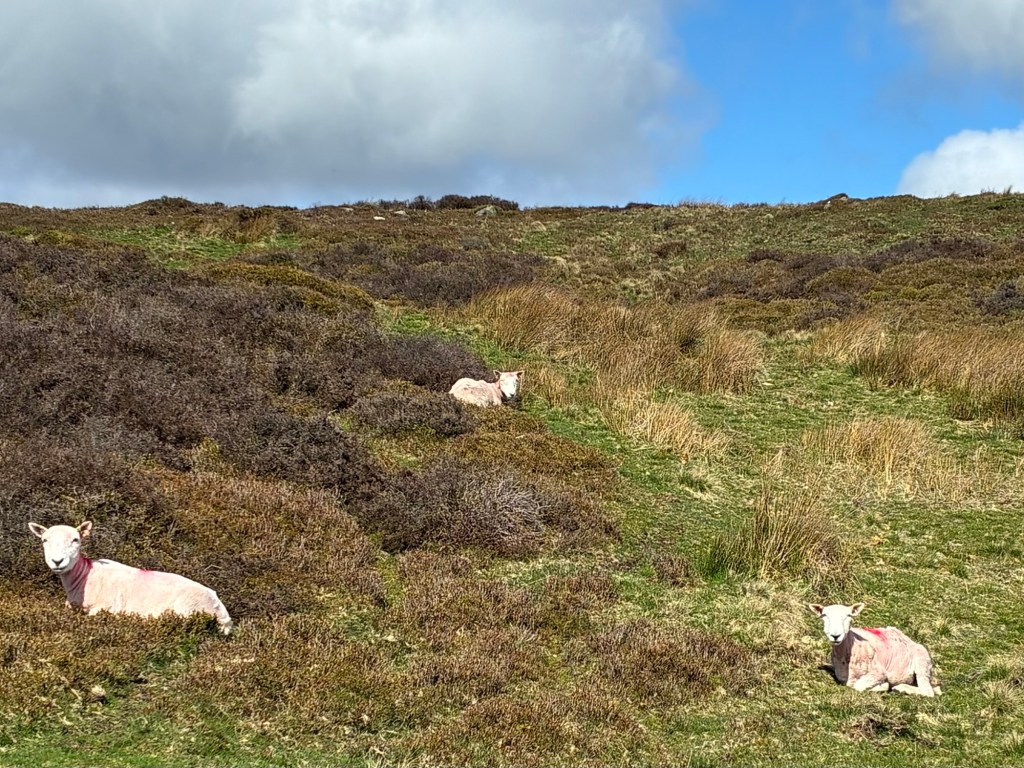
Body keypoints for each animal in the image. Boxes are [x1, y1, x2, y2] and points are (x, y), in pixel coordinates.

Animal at [29, 521, 233, 636]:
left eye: (76, 540)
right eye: (44, 540)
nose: (57, 561)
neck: (85, 576)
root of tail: (221, 610)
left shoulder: (105, 608)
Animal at [808, 602, 940, 696]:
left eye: (849, 615)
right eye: (824, 615)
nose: (835, 636)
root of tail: (907, 638)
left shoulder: (879, 672)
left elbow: (858, 686)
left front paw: (883, 686)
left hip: (922, 662)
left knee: (928, 691)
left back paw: (900, 688)